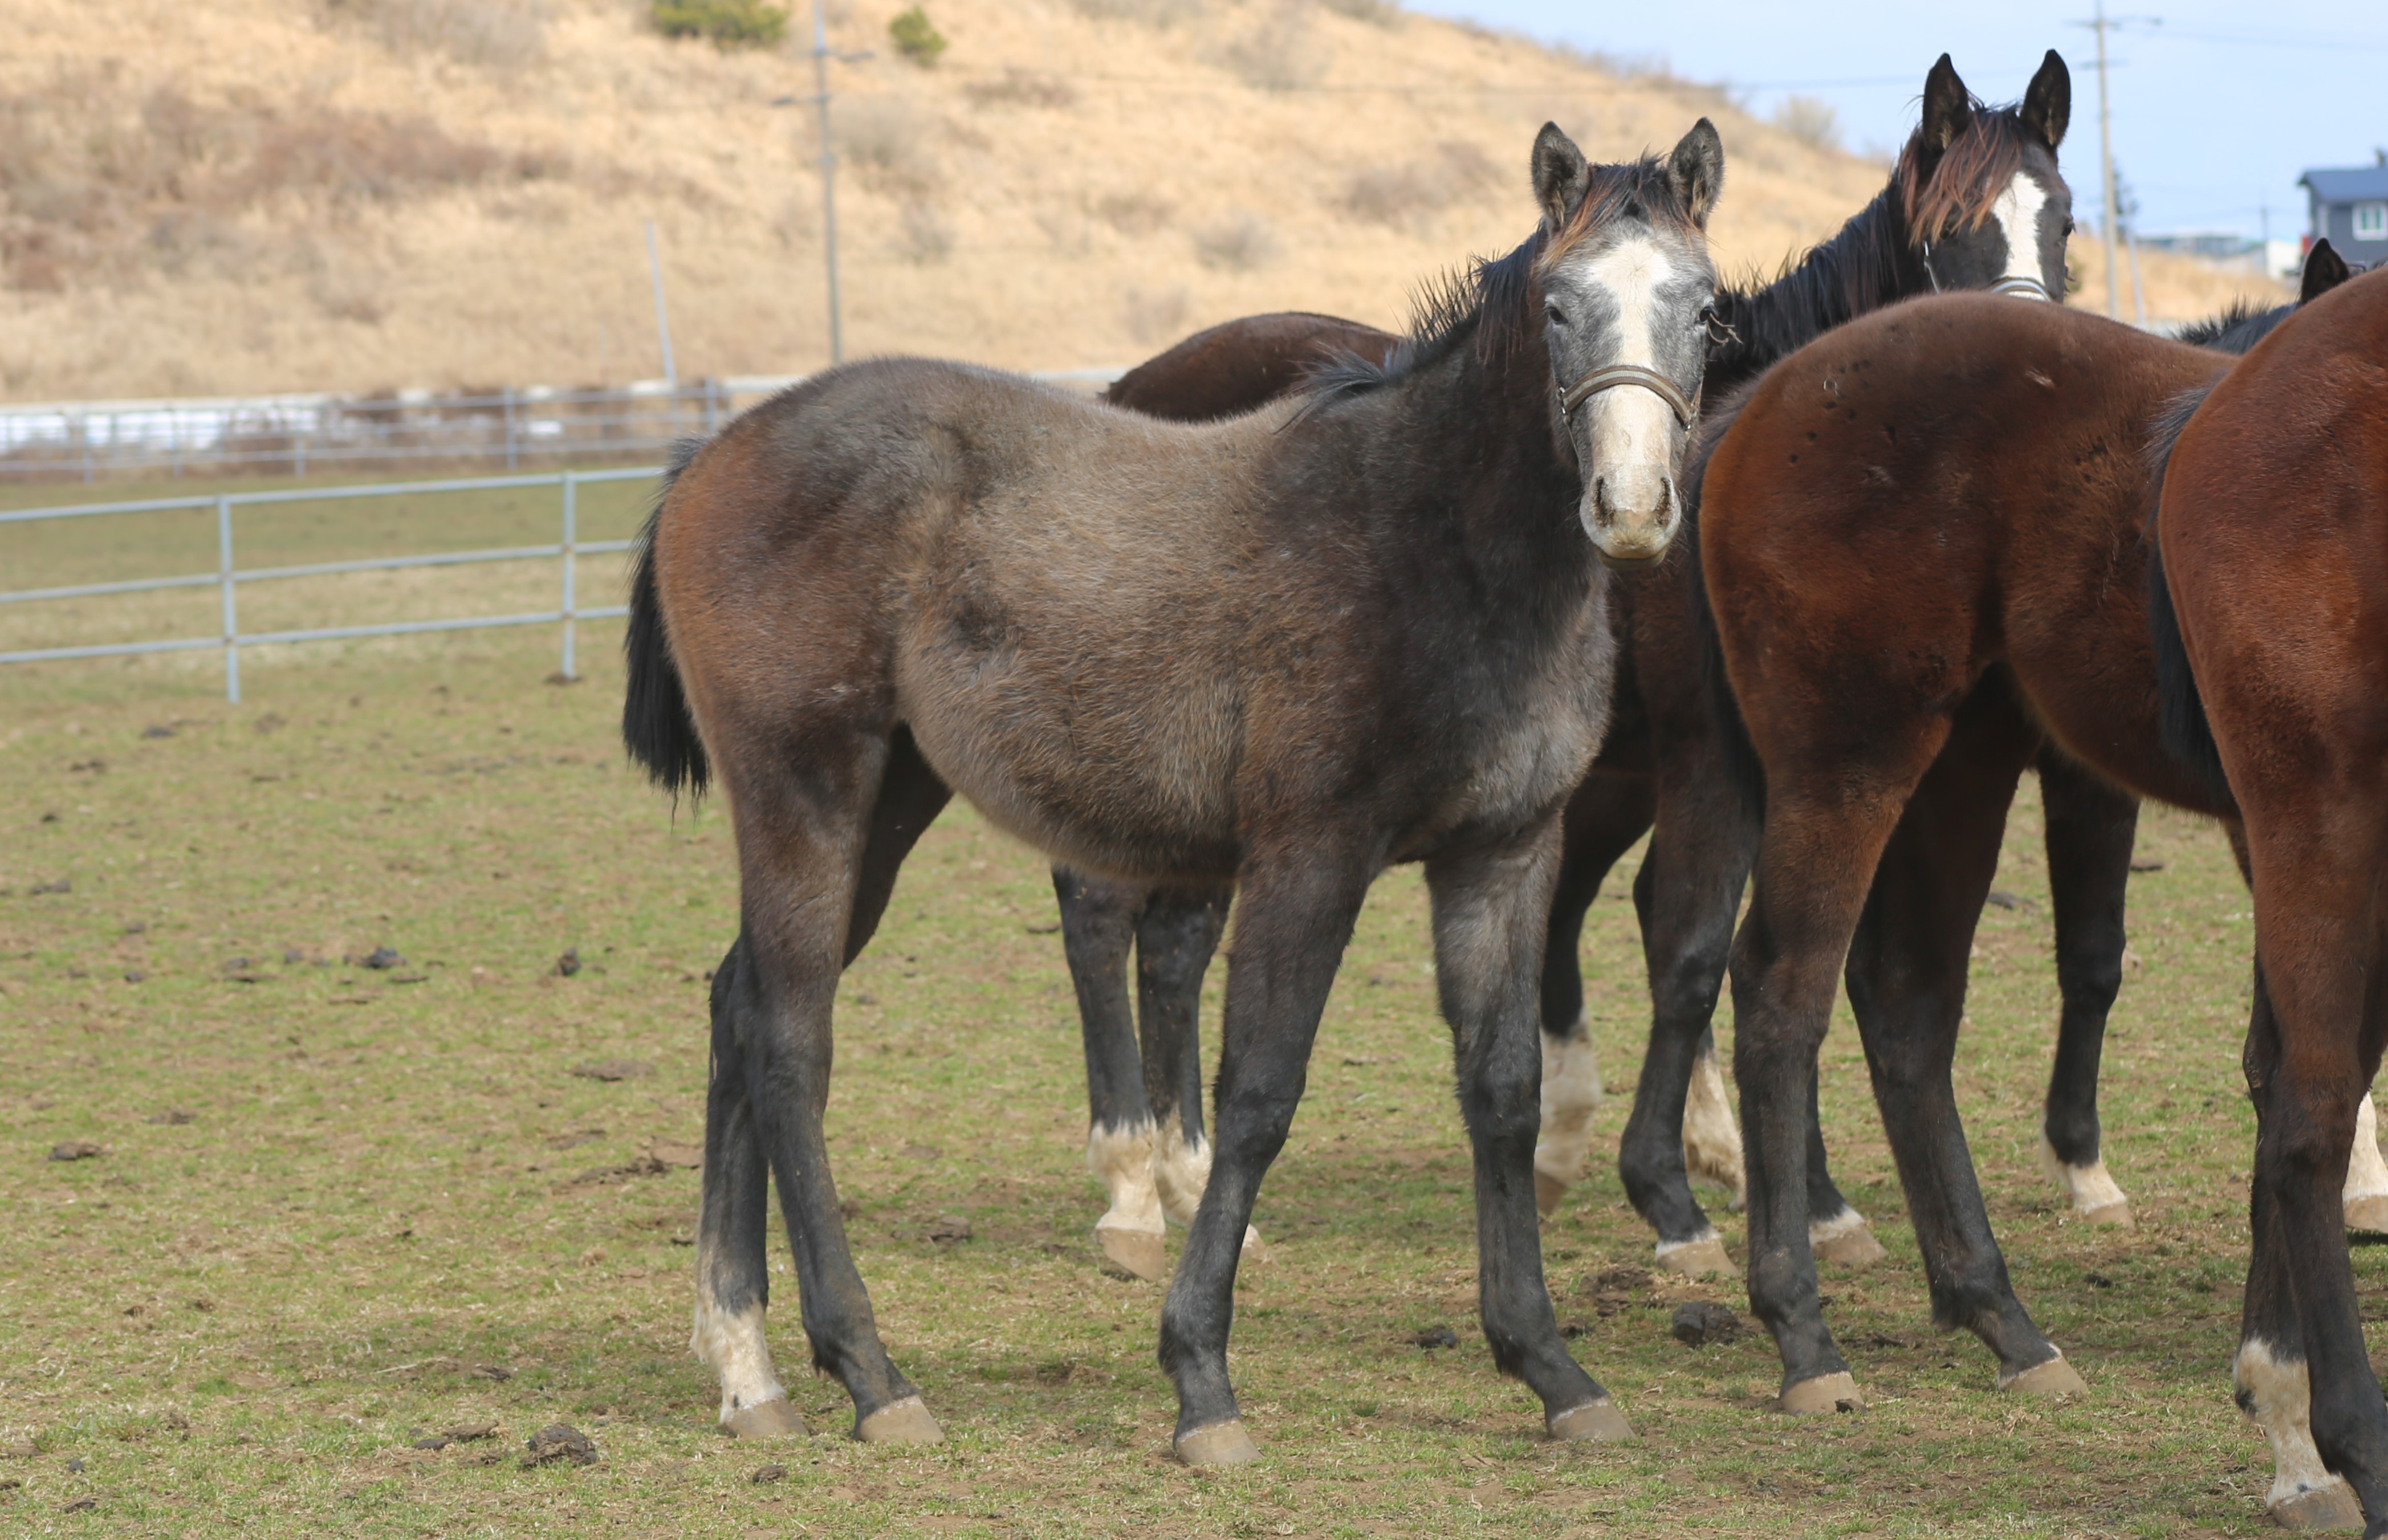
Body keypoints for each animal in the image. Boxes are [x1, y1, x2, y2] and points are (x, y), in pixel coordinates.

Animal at [625, 125, 1728, 1461]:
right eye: (1560, 307)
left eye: (1707, 308)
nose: (1631, 509)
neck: (1431, 543)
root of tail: (711, 455)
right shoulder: (1310, 856)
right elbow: (1256, 1093)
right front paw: (1201, 1378)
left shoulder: (1501, 854)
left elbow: (1502, 1091)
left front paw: (1551, 1367)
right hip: (805, 792)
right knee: (790, 1042)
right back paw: (869, 1373)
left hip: (885, 805)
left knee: (739, 1005)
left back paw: (745, 1364)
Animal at [1055, 48, 2101, 1280]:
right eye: (1952, 229)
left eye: (2064, 221)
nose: (2022, 369)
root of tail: (1127, 388)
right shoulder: (1713, 759)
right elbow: (1707, 955)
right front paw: (1695, 1200)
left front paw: (1782, 1189)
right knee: (1098, 908)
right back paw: (1132, 1186)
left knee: (1172, 942)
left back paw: (1187, 1178)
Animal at [1710, 255, 2359, 1509]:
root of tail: (1766, 397)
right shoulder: (2292, 826)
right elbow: (2293, 1073)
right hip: (1848, 760)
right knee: (1779, 993)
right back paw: (1804, 1333)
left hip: (1964, 762)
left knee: (1906, 1004)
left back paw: (1996, 1315)